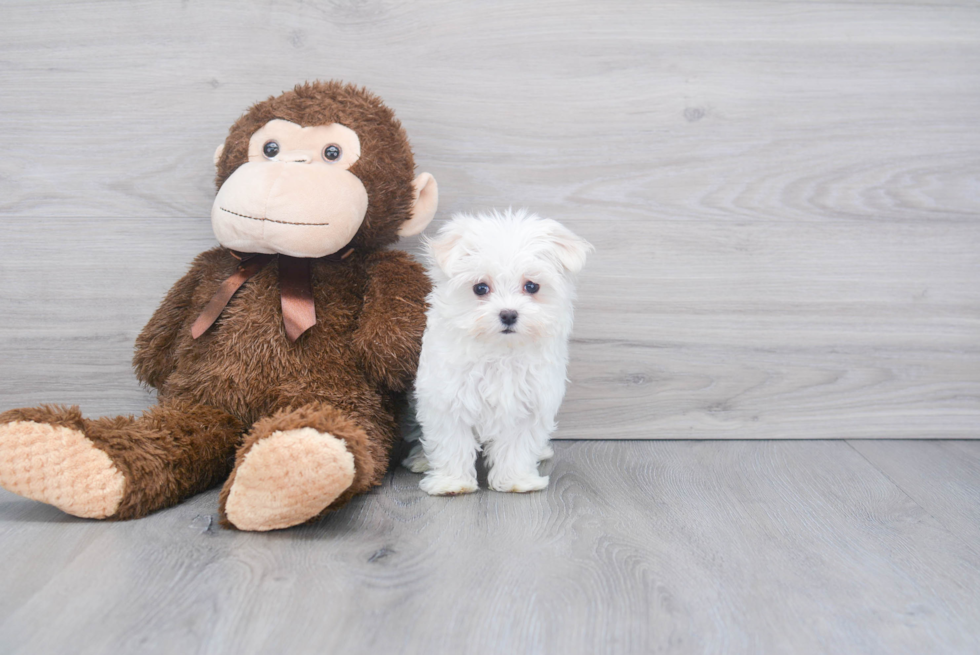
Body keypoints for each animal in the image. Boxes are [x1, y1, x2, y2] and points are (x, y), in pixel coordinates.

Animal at [404, 210, 588, 498]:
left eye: (532, 286)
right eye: (480, 288)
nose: (509, 314)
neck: (500, 352)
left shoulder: (528, 404)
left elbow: (516, 446)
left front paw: (517, 481)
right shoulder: (448, 399)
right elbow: (451, 443)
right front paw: (451, 483)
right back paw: (421, 460)